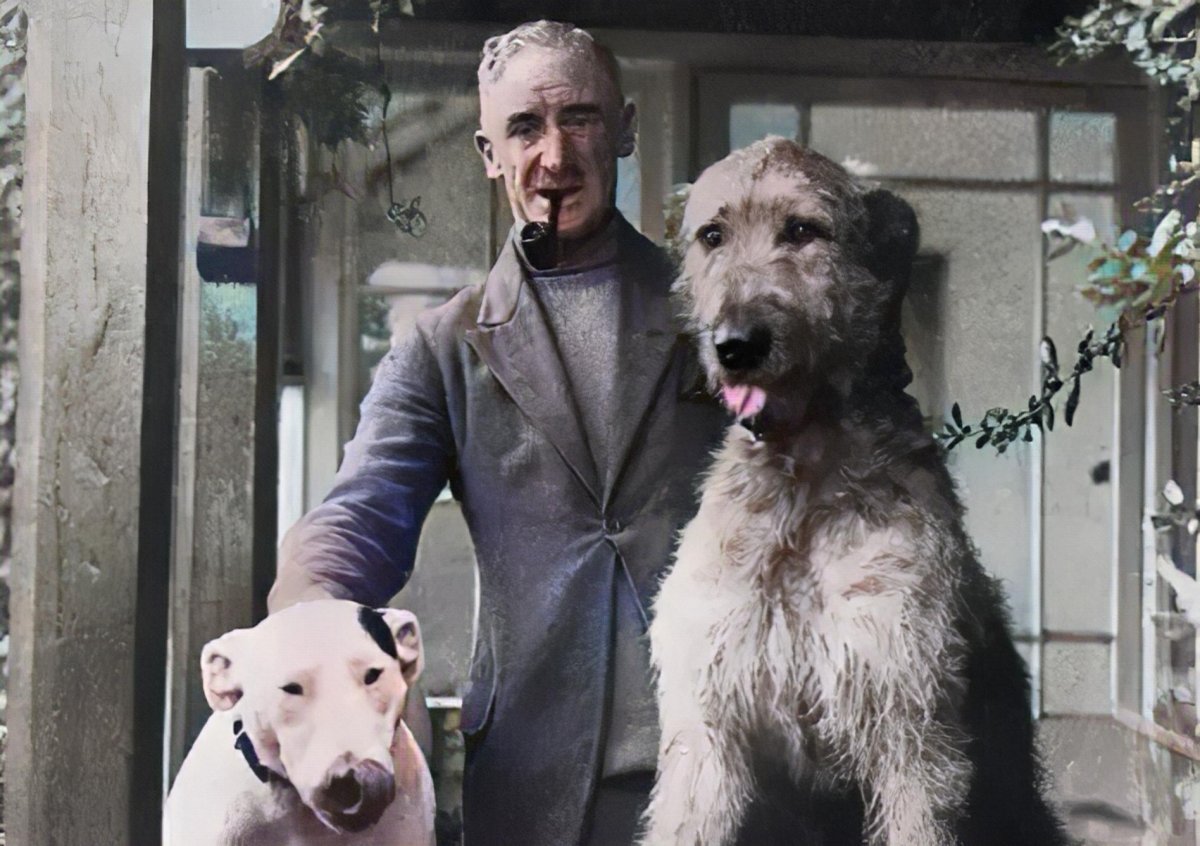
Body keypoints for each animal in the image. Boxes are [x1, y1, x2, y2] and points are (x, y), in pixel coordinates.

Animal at [640, 138, 1069, 846]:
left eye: (803, 230)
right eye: (711, 235)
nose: (736, 345)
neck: (800, 487)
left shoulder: (912, 734)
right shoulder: (708, 730)